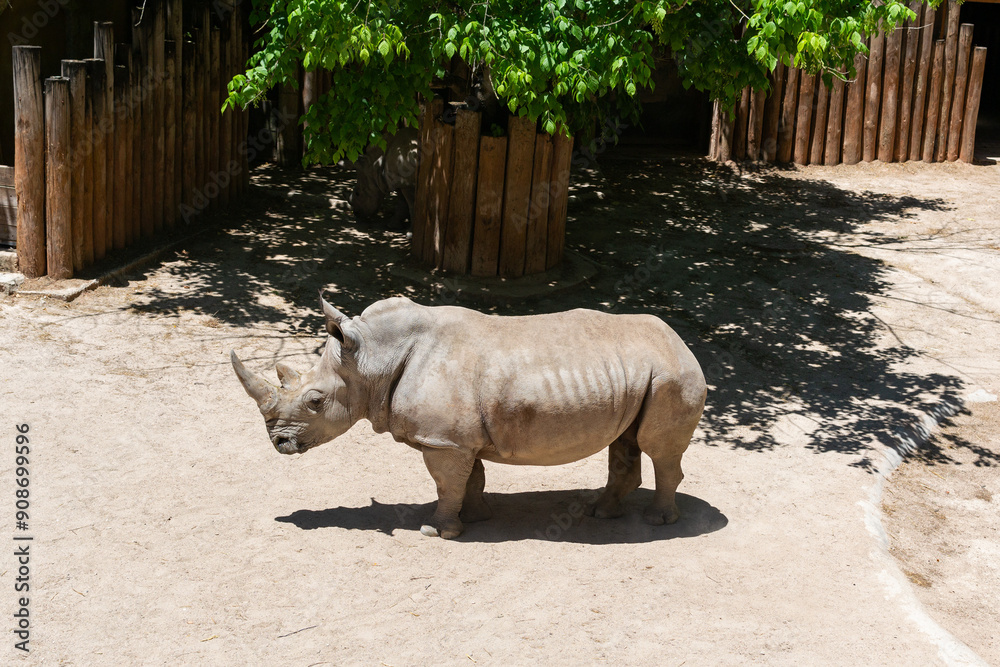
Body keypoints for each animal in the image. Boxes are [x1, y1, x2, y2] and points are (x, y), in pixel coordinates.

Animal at [231, 296, 707, 539]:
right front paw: (476, 518)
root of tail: (684, 343)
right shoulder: (457, 437)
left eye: (315, 401)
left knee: (657, 449)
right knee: (624, 442)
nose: (279, 443)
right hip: (641, 376)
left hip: (672, 376)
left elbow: (446, 482)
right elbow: (471, 478)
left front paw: (436, 531)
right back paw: (601, 513)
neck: (371, 360)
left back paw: (656, 522)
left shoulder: (443, 439)